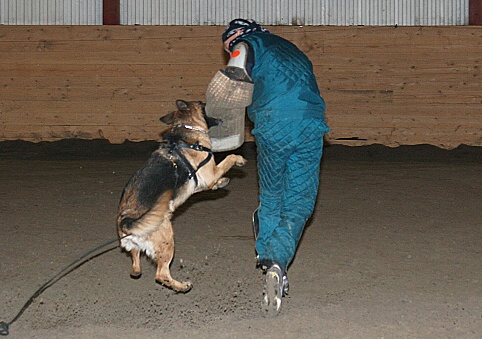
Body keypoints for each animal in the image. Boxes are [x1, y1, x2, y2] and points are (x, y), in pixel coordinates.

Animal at [116, 100, 245, 292]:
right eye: (204, 104)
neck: (187, 126)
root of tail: (126, 220)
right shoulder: (210, 173)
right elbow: (229, 157)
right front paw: (239, 160)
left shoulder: (200, 183)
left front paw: (222, 182)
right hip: (167, 240)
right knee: (161, 274)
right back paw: (182, 286)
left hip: (137, 250)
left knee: (136, 268)